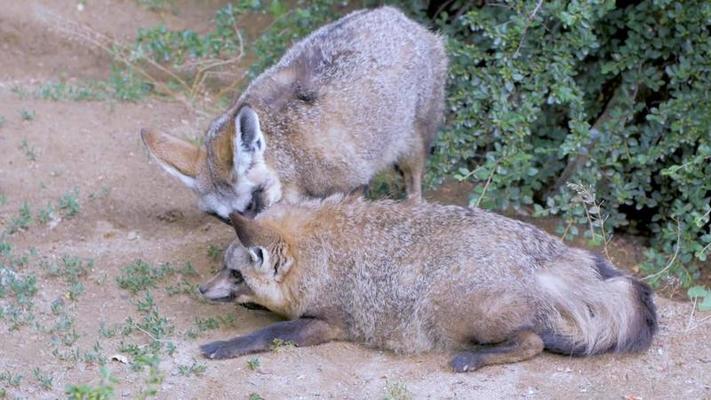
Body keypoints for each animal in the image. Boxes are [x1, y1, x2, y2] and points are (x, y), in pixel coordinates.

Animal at [142, 6, 448, 220]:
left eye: (253, 201)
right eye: (225, 219)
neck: (291, 156)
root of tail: (393, 14)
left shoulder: (351, 182)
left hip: (412, 146)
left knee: (414, 184)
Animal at [197, 197, 660, 372]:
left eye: (235, 274)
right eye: (223, 268)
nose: (201, 290)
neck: (320, 254)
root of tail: (543, 253)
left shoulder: (328, 323)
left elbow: (271, 332)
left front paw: (226, 345)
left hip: (448, 302)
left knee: (534, 341)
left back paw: (475, 358)